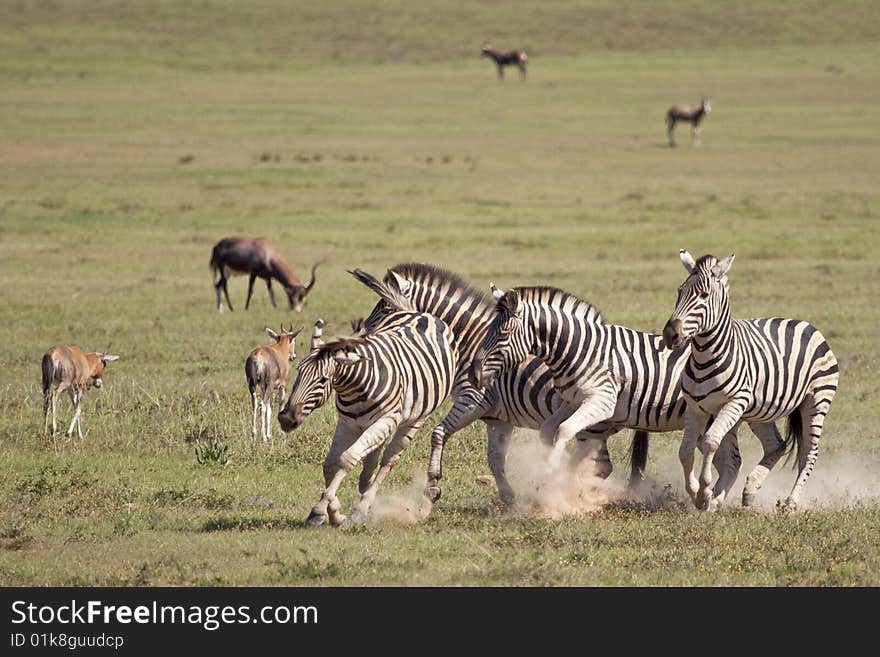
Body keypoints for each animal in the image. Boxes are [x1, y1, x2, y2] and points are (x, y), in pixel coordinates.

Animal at [276, 312, 458, 528]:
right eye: (298, 371)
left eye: (322, 380)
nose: (286, 419)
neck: (354, 386)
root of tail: (423, 314)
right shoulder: (347, 424)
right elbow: (330, 465)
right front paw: (334, 514)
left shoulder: (386, 419)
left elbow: (347, 459)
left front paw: (320, 510)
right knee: (372, 459)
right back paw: (365, 488)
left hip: (413, 420)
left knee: (388, 459)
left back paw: (363, 506)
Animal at [348, 262, 652, 508]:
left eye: (386, 307)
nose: (363, 336)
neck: (468, 341)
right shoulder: (497, 418)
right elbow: (495, 459)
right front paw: (508, 497)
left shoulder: (472, 400)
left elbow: (438, 434)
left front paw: (433, 486)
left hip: (592, 425)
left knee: (600, 467)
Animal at [470, 284, 744, 500]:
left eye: (503, 333)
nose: (474, 374)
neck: (580, 350)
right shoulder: (571, 401)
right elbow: (548, 429)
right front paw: (548, 473)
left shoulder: (601, 402)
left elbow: (564, 430)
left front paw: (552, 472)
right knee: (730, 461)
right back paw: (713, 499)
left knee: (729, 461)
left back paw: (714, 499)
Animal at [660, 249, 840, 510]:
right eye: (679, 291)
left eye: (704, 295)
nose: (670, 335)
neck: (704, 357)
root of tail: (807, 325)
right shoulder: (696, 406)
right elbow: (685, 451)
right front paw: (696, 493)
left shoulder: (735, 402)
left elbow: (710, 442)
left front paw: (704, 492)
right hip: (761, 411)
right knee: (776, 445)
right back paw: (747, 489)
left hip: (817, 401)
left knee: (809, 453)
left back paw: (790, 504)